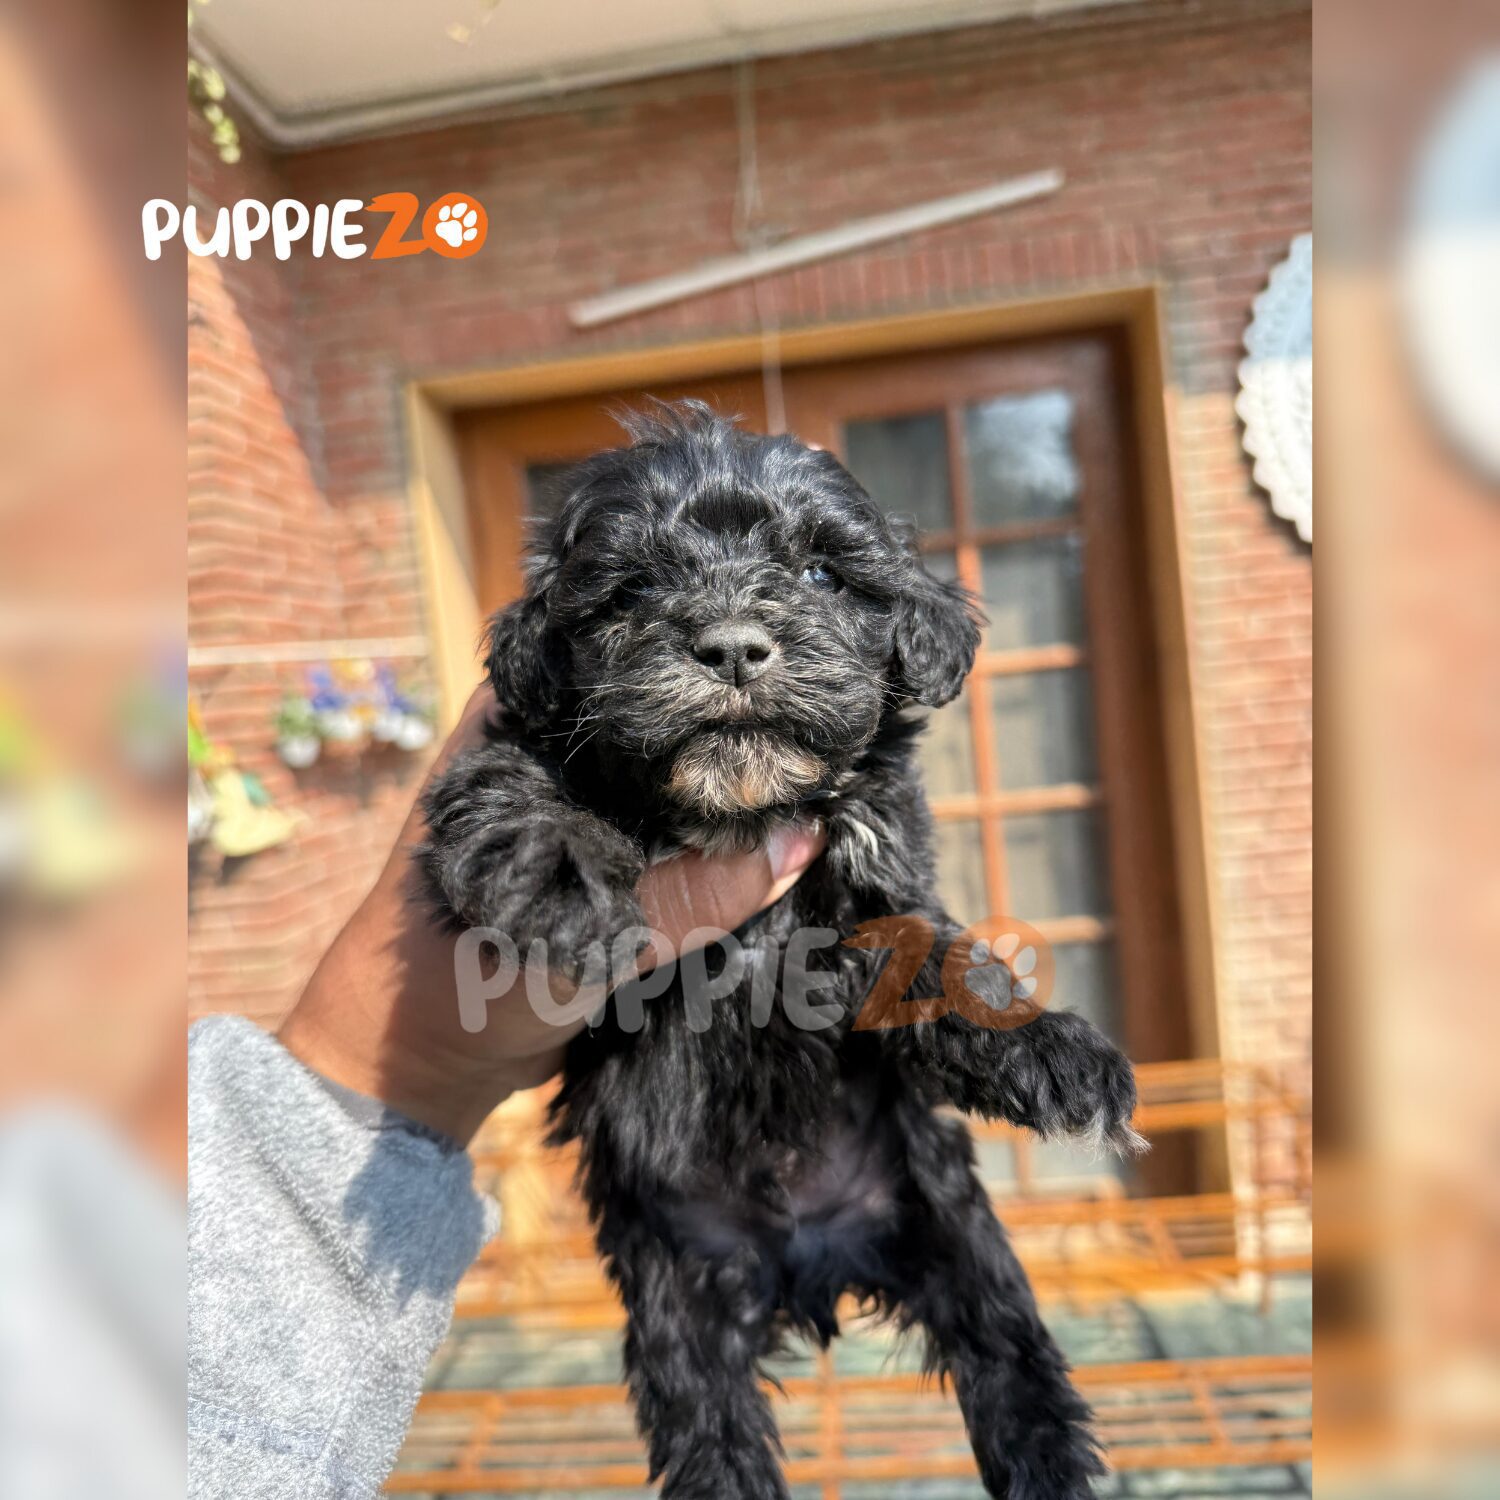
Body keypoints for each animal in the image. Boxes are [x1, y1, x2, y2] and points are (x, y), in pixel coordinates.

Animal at [420, 400, 1142, 1499]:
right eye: (631, 591)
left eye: (820, 575)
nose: (730, 646)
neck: (737, 811)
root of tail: (805, 1264)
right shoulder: (506, 753)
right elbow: (511, 789)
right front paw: (560, 878)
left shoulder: (879, 864)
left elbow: (925, 949)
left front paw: (1046, 1045)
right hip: (676, 1290)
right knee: (711, 1431)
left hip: (950, 1224)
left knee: (1006, 1354)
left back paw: (1049, 1461)